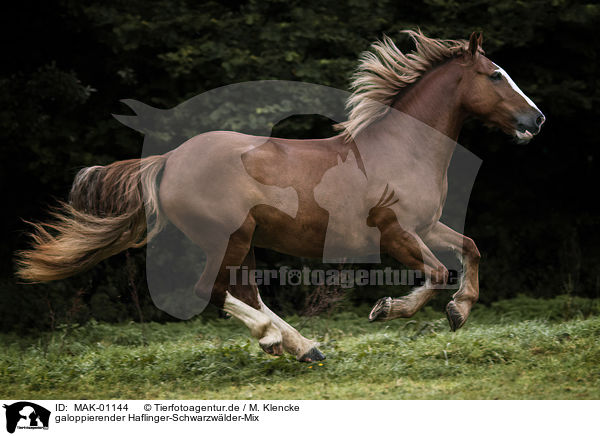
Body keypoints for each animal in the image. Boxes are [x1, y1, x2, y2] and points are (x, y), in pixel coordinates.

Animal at [17, 31, 544, 362]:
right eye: (495, 75)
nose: (536, 119)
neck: (403, 149)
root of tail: (169, 160)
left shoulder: (427, 225)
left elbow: (471, 248)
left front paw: (460, 310)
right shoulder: (395, 232)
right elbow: (435, 274)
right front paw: (388, 310)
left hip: (246, 239)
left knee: (241, 290)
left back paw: (301, 347)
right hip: (228, 236)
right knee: (212, 291)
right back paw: (278, 339)